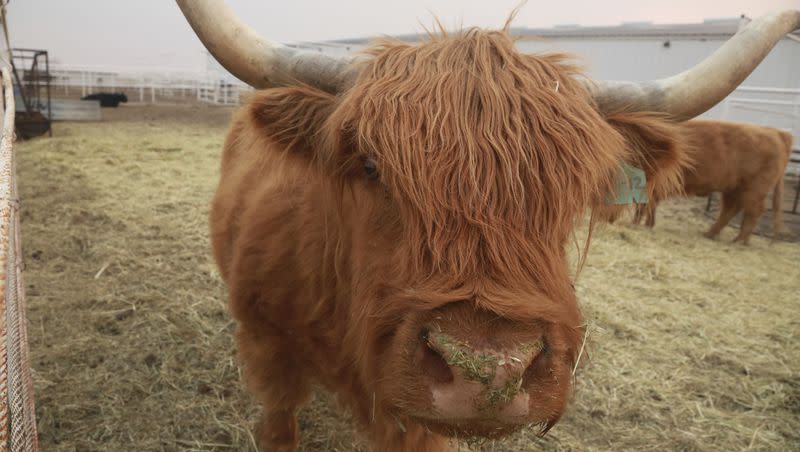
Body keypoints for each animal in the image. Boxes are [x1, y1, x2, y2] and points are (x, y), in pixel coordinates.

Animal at [632, 118, 792, 244]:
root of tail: (776, 132)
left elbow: (644, 205)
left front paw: (636, 224)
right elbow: (651, 206)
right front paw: (647, 224)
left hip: (755, 189)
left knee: (753, 212)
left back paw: (738, 241)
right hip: (733, 189)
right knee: (731, 209)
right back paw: (712, 234)